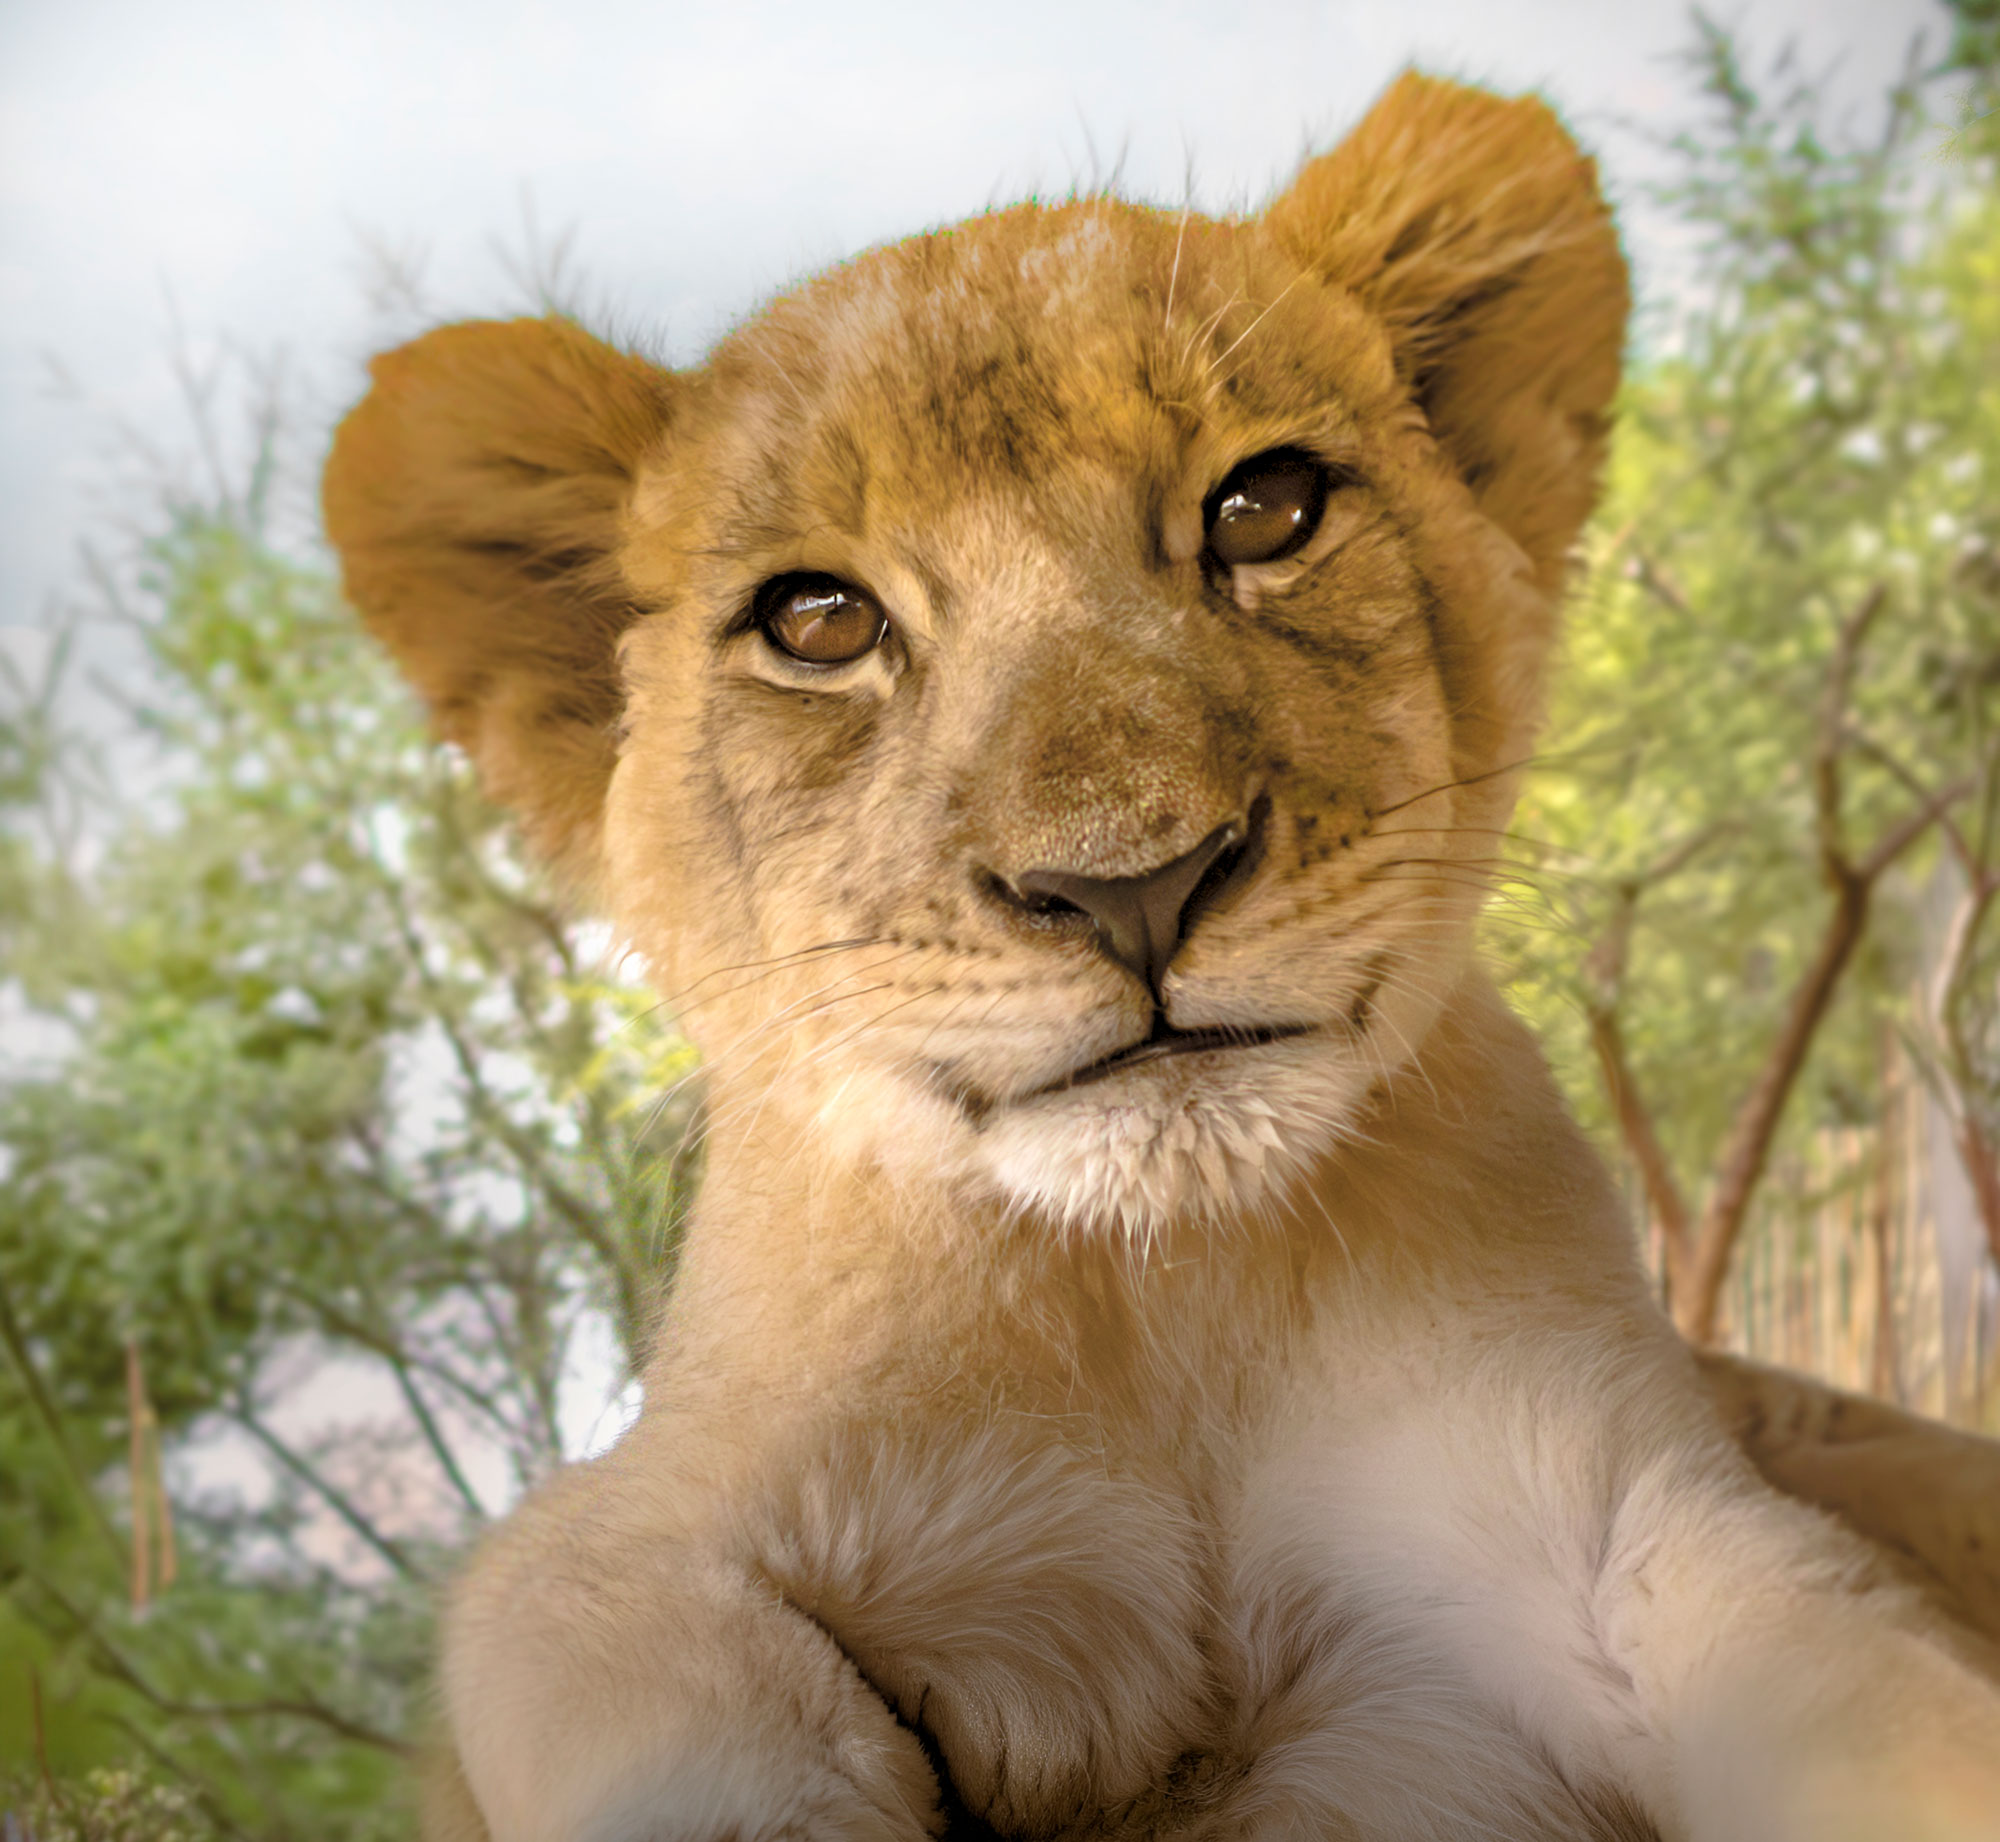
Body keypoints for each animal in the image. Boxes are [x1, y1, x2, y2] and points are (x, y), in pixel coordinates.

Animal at [323, 71, 2000, 1842]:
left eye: (1263, 508)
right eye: (819, 621)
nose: (1134, 884)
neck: (1168, 1298)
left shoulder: (1620, 1506)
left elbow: (1883, 1704)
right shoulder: (604, 1550)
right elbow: (699, 1722)